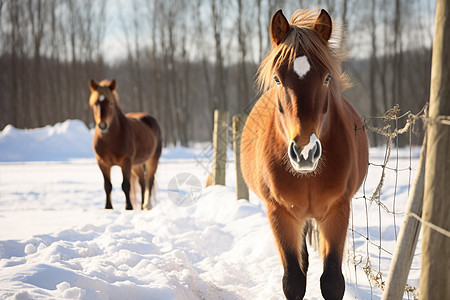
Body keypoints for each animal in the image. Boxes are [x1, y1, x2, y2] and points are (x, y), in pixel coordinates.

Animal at [88, 79, 162, 211]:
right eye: (95, 103)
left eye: (111, 103)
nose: (103, 125)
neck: (110, 140)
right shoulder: (102, 163)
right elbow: (107, 185)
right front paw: (108, 207)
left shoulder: (126, 162)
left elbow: (125, 185)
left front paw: (128, 207)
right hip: (136, 165)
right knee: (142, 182)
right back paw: (142, 206)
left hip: (152, 161)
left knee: (149, 180)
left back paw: (147, 205)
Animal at [241, 8, 368, 298]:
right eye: (277, 78)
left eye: (327, 77)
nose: (305, 152)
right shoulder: (280, 213)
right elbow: (294, 280)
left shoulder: (337, 211)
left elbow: (332, 281)